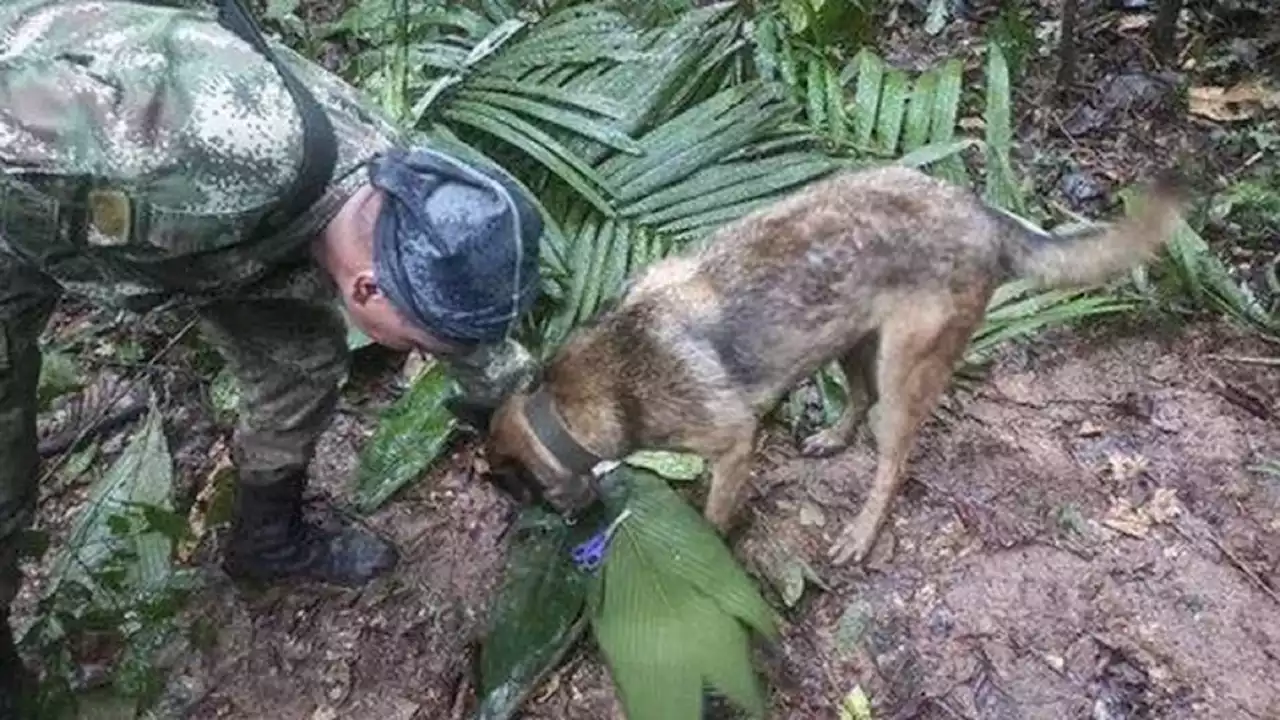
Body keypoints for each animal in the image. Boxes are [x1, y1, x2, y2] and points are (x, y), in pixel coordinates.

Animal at [483, 165, 1182, 563]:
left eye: (525, 497)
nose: (572, 523)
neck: (573, 401)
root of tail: (982, 212)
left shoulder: (732, 444)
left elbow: (713, 514)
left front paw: (711, 550)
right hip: (849, 337)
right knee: (860, 397)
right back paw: (831, 437)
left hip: (905, 371)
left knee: (892, 460)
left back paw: (862, 533)